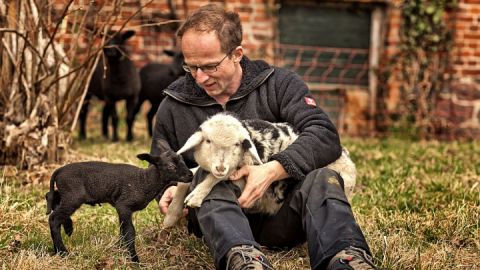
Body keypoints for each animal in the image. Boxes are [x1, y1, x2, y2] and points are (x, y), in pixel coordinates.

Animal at [163, 113, 354, 228]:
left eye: (237, 144)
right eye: (208, 141)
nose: (220, 167)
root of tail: (346, 157)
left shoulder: (242, 175)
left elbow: (212, 178)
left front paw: (196, 196)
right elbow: (184, 181)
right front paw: (169, 218)